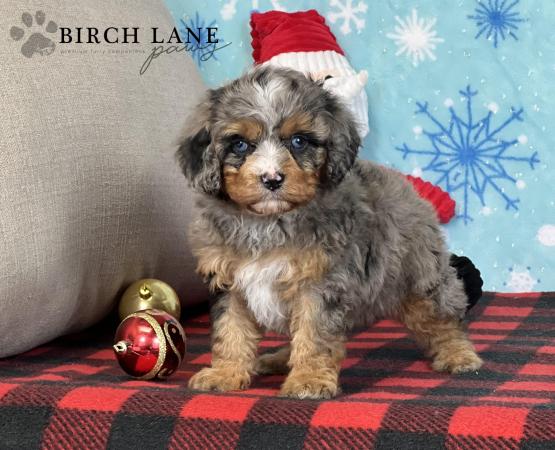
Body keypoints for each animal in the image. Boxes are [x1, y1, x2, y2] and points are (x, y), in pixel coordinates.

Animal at [177, 66, 483, 399]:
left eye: (299, 141)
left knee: (442, 318)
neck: (268, 221)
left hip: (422, 276)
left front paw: (308, 379)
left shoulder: (320, 283)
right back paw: (279, 359)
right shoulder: (229, 283)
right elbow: (230, 329)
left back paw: (458, 354)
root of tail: (409, 188)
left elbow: (314, 333)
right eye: (240, 145)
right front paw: (225, 373)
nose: (271, 179)